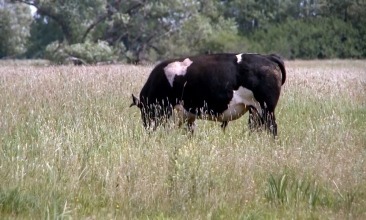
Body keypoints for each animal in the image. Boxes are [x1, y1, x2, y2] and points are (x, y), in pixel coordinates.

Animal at [130, 53, 288, 136]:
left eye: (144, 112)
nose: (147, 129)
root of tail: (268, 57)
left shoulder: (171, 111)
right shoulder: (189, 115)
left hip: (266, 108)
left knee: (272, 128)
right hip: (254, 110)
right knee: (257, 128)